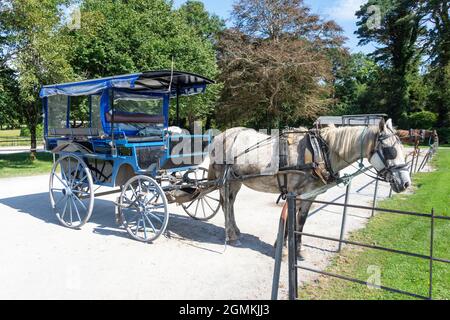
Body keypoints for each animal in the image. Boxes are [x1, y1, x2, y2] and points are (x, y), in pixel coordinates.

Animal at [207, 118, 412, 255]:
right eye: (390, 151)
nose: (405, 183)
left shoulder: (310, 195)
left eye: (403, 149)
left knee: (229, 204)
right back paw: (231, 237)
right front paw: (282, 248)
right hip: (226, 180)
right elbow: (289, 219)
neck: (318, 152)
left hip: (235, 181)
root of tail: (220, 137)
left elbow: (301, 220)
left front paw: (296, 250)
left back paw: (235, 231)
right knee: (226, 204)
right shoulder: (293, 192)